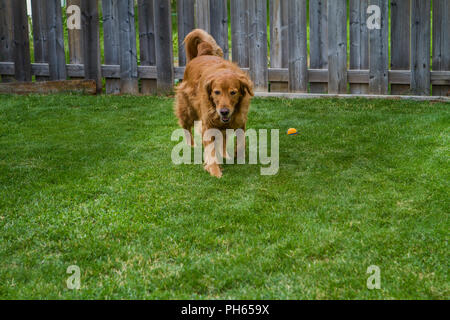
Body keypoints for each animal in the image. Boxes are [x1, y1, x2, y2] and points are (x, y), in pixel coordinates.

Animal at [175, 28, 255, 179]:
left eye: (233, 92)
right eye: (216, 92)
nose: (224, 112)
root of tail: (202, 54)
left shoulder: (240, 121)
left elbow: (240, 142)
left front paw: (238, 156)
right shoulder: (207, 124)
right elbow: (211, 151)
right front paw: (214, 170)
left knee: (222, 139)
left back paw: (225, 155)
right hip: (187, 110)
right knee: (186, 127)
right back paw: (191, 145)